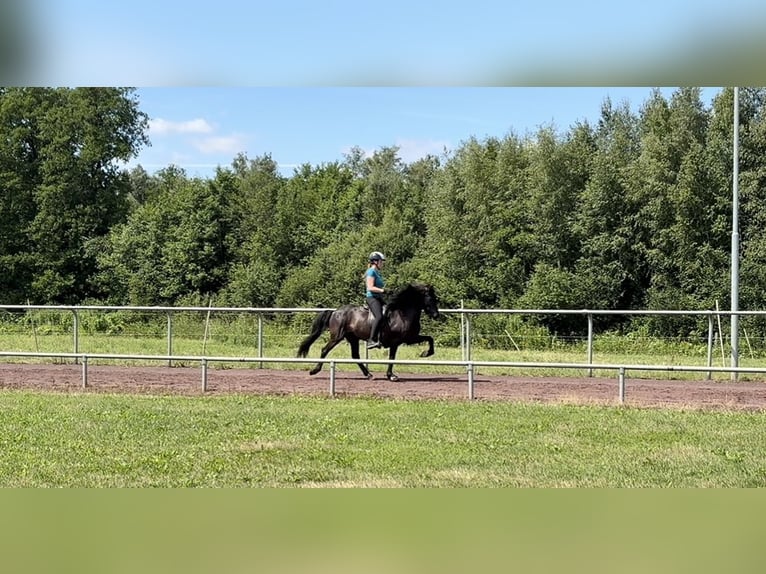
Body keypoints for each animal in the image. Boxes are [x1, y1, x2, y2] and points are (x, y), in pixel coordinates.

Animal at [296, 282, 440, 382]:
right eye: (431, 298)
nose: (436, 315)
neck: (402, 314)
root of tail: (335, 312)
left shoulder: (405, 339)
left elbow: (429, 339)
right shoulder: (404, 340)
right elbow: (393, 357)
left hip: (353, 338)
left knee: (355, 355)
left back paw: (369, 374)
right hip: (337, 337)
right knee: (325, 350)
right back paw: (314, 371)